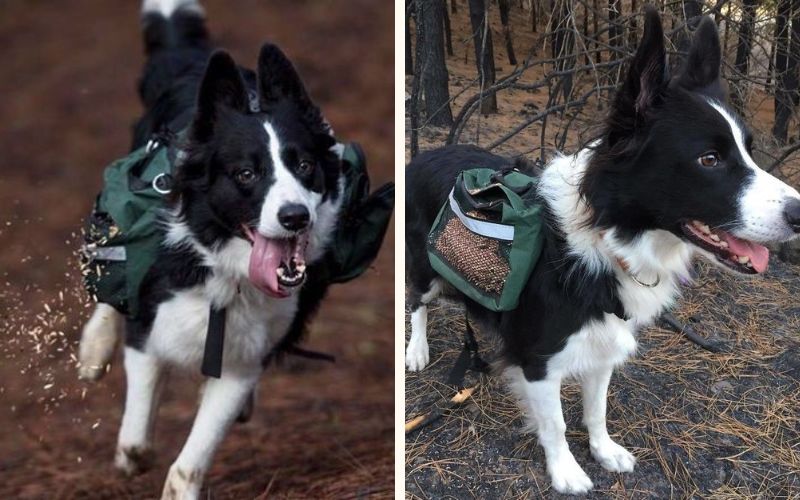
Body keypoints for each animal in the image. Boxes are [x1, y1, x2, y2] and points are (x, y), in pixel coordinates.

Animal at [76, 1, 348, 498]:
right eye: (245, 174)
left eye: (304, 165)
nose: (296, 217)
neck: (226, 269)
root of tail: (193, 63)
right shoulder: (149, 331)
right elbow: (137, 435)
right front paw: (130, 457)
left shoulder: (243, 364)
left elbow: (193, 455)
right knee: (111, 267)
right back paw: (93, 347)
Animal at [406, 5, 800, 494]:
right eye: (709, 159)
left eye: (748, 150)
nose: (799, 213)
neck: (606, 241)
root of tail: (423, 154)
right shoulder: (539, 358)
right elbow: (555, 423)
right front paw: (566, 470)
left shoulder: (603, 343)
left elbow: (597, 409)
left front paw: (603, 450)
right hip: (423, 266)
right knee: (417, 302)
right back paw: (416, 350)